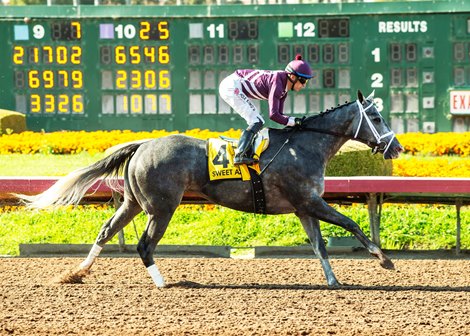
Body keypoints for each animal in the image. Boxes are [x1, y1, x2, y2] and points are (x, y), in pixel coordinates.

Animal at [16, 90, 402, 288]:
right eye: (377, 117)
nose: (396, 147)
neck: (305, 145)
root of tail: (142, 145)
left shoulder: (303, 206)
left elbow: (319, 245)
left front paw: (334, 281)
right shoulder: (310, 200)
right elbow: (351, 224)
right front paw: (384, 259)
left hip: (133, 203)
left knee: (106, 231)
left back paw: (77, 272)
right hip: (162, 207)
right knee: (144, 245)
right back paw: (162, 282)